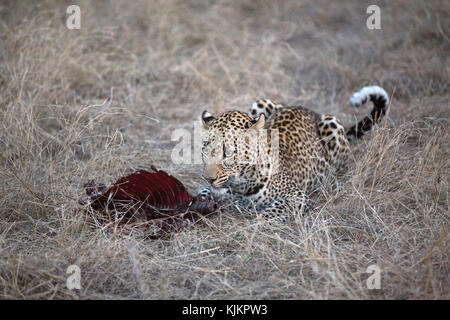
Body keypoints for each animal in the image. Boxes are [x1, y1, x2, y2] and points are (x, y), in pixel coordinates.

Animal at [197, 85, 390, 221]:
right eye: (205, 148)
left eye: (228, 153)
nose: (208, 178)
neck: (239, 185)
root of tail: (312, 112)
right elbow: (203, 192)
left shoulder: (298, 196)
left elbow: (272, 211)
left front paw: (256, 225)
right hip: (262, 103)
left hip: (332, 125)